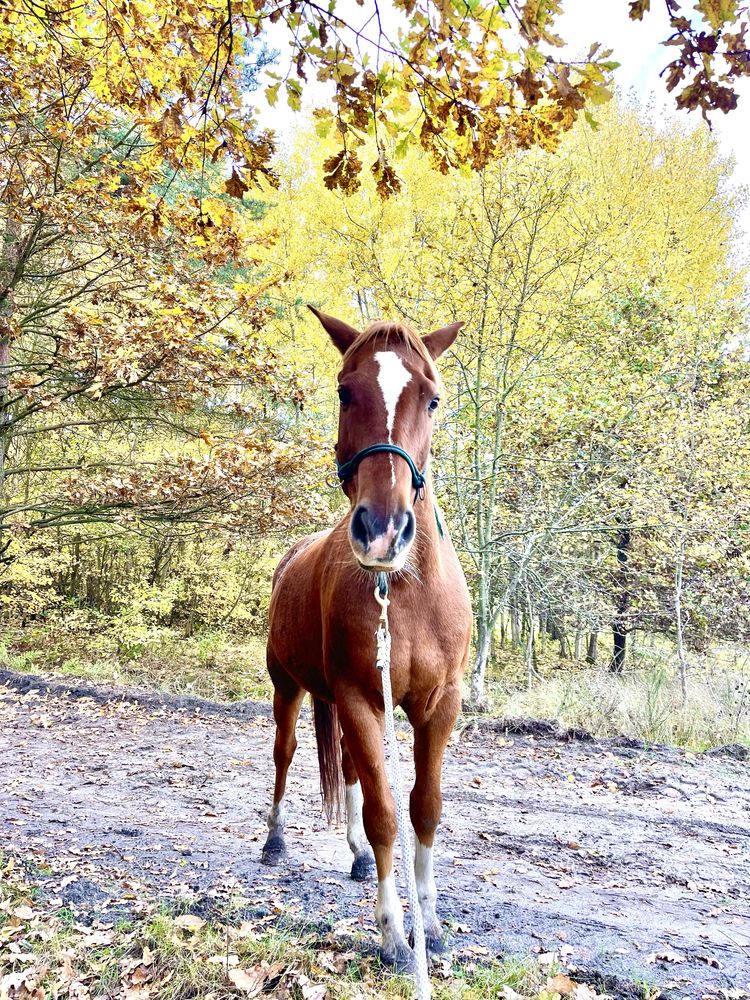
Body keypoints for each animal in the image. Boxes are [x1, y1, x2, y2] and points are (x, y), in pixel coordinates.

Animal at [264, 306, 472, 968]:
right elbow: (386, 815)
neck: (401, 590)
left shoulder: (438, 706)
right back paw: (274, 838)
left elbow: (423, 809)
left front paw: (431, 922)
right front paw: (393, 933)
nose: (382, 531)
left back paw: (355, 855)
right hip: (288, 690)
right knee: (285, 755)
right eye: (343, 391)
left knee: (351, 772)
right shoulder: (359, 699)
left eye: (432, 399)